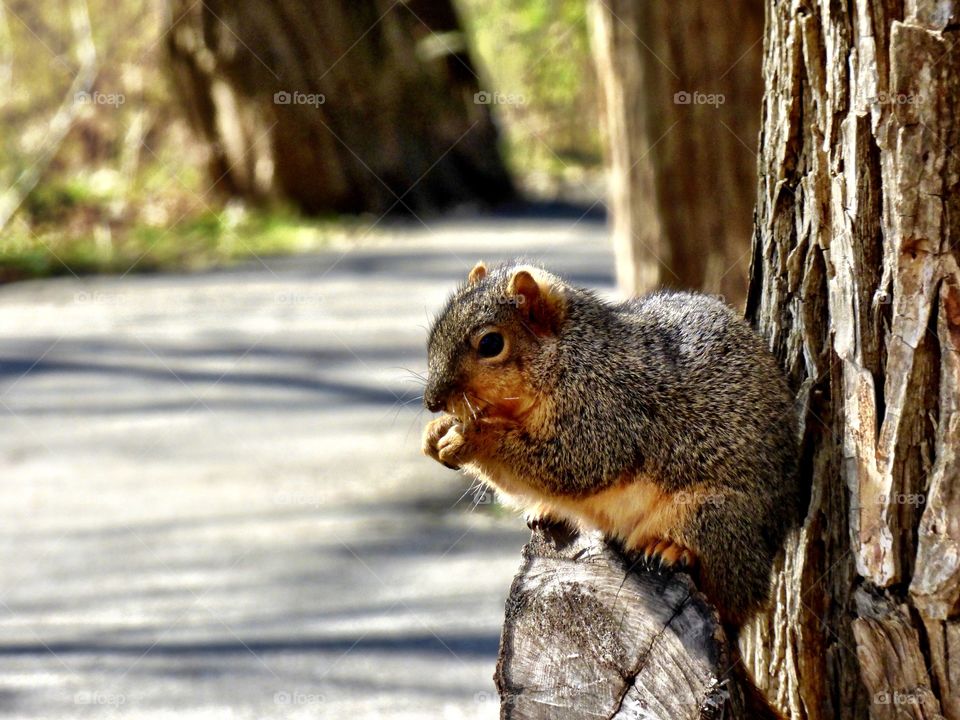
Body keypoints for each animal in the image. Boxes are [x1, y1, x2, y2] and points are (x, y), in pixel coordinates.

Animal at [421, 260, 800, 628]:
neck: (569, 356)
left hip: (714, 512)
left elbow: (572, 464)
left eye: (490, 344)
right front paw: (435, 432)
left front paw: (473, 437)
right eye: (436, 331)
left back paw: (670, 548)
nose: (432, 402)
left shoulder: (608, 412)